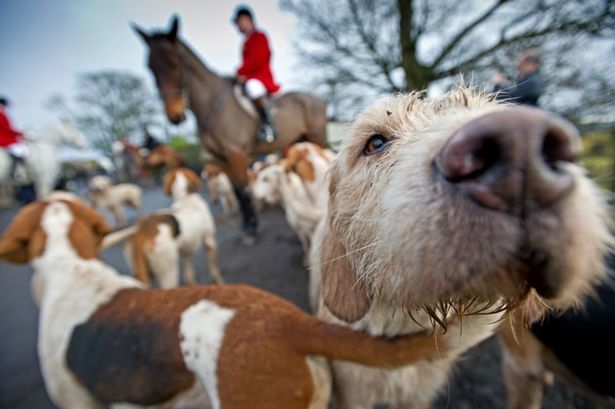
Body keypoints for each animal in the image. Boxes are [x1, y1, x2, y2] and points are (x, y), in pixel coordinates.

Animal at [133, 16, 330, 236]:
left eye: (174, 63)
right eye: (150, 67)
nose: (174, 116)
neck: (212, 105)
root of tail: (318, 98)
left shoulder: (236, 154)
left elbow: (243, 191)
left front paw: (252, 226)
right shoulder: (221, 158)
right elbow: (236, 189)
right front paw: (246, 223)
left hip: (316, 137)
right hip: (299, 139)